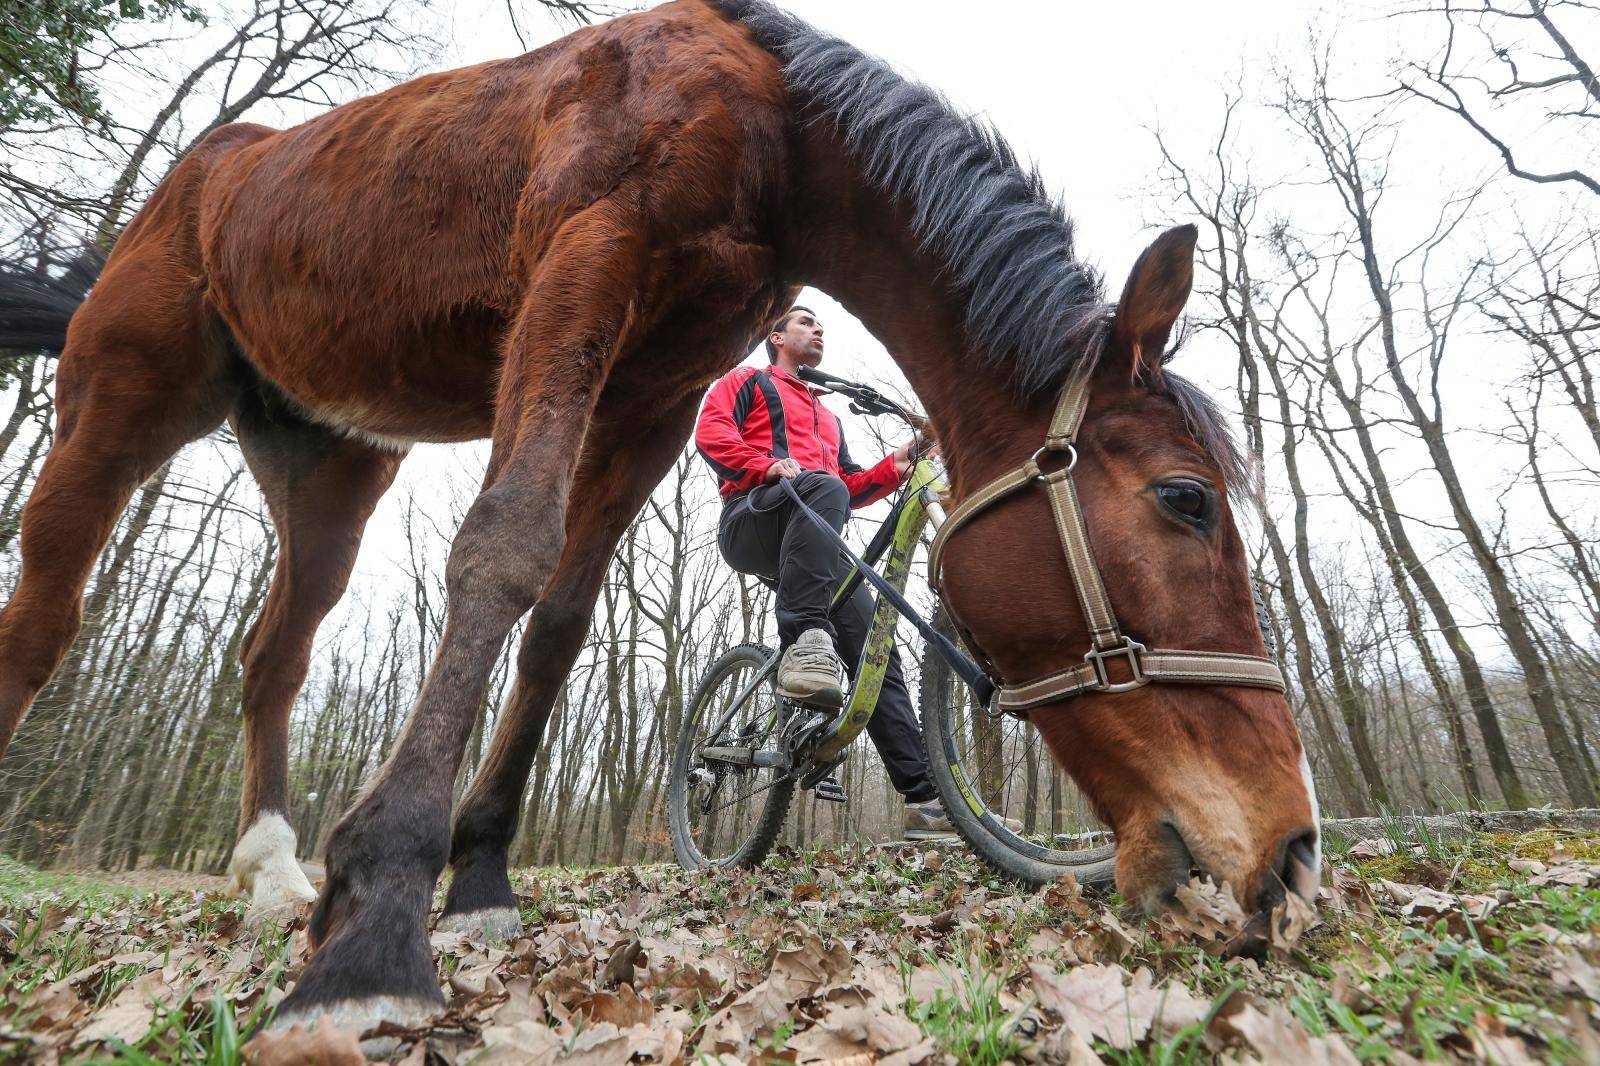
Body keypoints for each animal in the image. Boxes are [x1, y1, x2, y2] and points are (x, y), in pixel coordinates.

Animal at [0, 0, 1318, 1030]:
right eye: (1187, 501)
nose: (1292, 854)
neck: (774, 124)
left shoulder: (650, 395)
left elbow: (560, 619)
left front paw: (480, 874)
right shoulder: (581, 269)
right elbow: (503, 550)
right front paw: (376, 920)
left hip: (330, 466)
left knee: (273, 651)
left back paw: (271, 871)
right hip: (117, 404)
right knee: (43, 625)